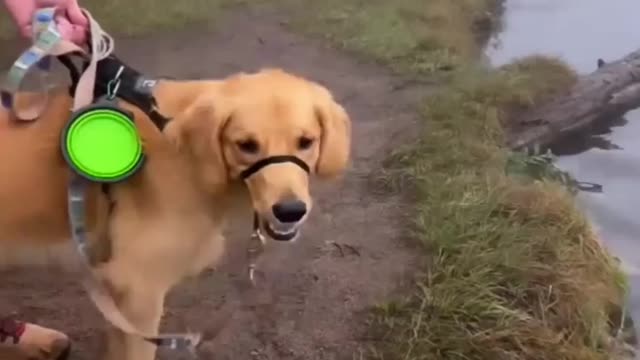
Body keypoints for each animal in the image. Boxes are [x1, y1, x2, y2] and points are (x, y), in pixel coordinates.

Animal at [0, 68, 352, 360]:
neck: (186, 158)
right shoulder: (140, 296)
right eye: (246, 145)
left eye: (306, 141)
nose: (290, 211)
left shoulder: (118, 296)